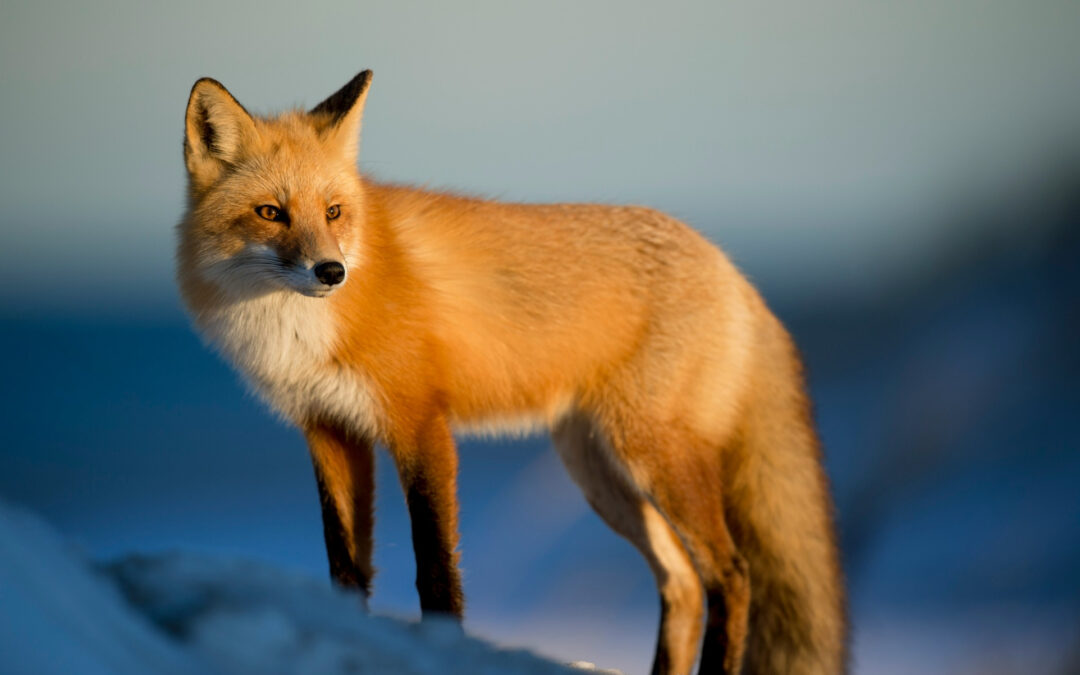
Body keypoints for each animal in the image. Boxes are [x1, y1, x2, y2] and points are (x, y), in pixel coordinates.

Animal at [176, 70, 847, 675]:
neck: (298, 329)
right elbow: (346, 568)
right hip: (601, 473)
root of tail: (732, 270)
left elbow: (435, 569)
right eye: (271, 213)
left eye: (334, 212)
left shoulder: (420, 424)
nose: (331, 272)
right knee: (682, 583)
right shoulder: (329, 430)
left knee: (731, 575)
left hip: (652, 456)